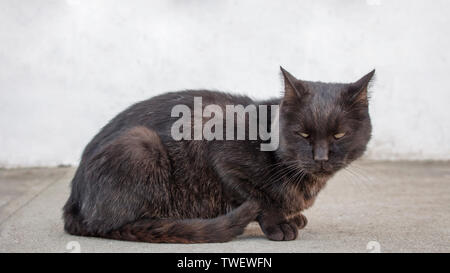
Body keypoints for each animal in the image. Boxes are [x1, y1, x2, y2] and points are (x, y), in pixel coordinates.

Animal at [62, 67, 372, 241]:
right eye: (303, 134)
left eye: (339, 135)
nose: (320, 157)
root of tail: (73, 200)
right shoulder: (222, 155)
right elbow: (258, 197)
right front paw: (278, 224)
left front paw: (291, 217)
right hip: (140, 143)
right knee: (114, 223)